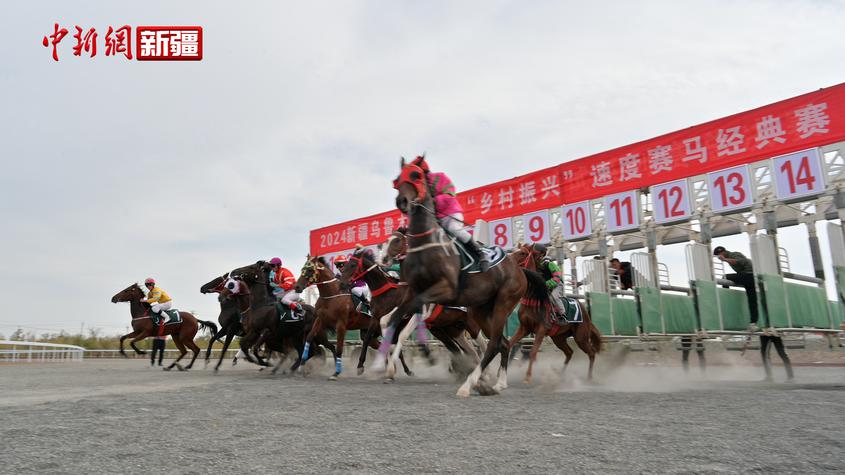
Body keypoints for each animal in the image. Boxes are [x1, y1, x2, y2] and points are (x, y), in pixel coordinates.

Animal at [336, 247, 482, 382]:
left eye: (352, 264)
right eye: (345, 265)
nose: (341, 282)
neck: (386, 293)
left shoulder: (402, 317)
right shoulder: (376, 318)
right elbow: (367, 338)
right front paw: (361, 366)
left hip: (466, 325)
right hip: (445, 328)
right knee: (457, 348)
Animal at [390, 160, 548, 398]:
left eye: (416, 175)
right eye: (398, 179)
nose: (402, 201)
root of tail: (520, 272)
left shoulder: (440, 292)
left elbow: (408, 318)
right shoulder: (416, 293)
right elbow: (393, 320)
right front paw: (387, 364)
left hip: (502, 304)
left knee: (492, 344)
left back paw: (471, 384)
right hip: (481, 310)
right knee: (501, 343)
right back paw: (496, 383)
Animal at [508, 245, 600, 384]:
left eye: (523, 253)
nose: (507, 259)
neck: (533, 297)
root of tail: (584, 310)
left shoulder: (541, 329)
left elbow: (533, 352)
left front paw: (528, 377)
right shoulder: (524, 328)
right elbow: (509, 344)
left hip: (581, 337)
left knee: (591, 353)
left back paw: (589, 378)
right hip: (558, 337)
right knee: (569, 352)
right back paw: (561, 375)